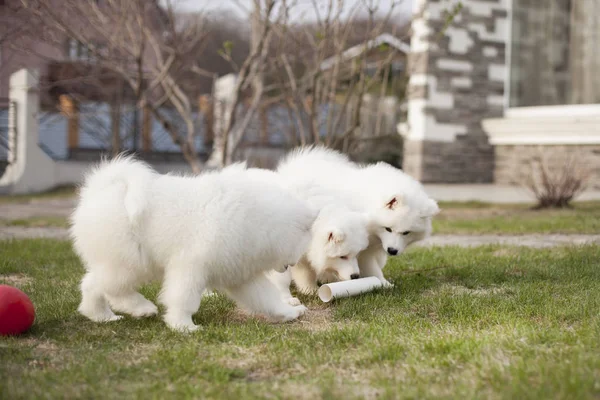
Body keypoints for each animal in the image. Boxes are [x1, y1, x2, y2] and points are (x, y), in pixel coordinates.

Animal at [70, 156, 316, 332]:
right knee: (111, 288)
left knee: (92, 284)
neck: (254, 218)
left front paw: (288, 313)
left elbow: (266, 298)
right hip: (130, 261)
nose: (290, 265)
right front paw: (183, 326)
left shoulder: (240, 275)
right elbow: (183, 298)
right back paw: (142, 308)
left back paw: (102, 316)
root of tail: (102, 189)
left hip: (117, 261)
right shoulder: (190, 266)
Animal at [278, 148, 440, 286]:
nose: (392, 251)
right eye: (388, 229)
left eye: (406, 233)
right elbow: (370, 267)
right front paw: (383, 283)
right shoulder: (362, 249)